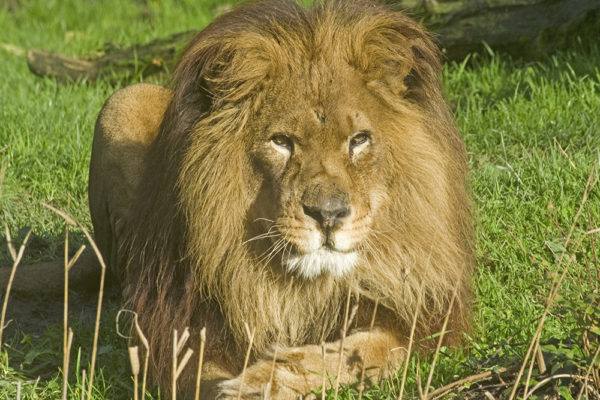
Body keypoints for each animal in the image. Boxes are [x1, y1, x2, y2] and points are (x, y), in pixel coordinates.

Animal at [88, 0, 474, 396]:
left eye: (359, 140)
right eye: (281, 142)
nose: (328, 215)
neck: (303, 289)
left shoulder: (418, 317)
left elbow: (361, 350)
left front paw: (268, 378)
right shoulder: (178, 322)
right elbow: (197, 376)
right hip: (124, 101)